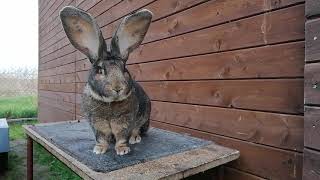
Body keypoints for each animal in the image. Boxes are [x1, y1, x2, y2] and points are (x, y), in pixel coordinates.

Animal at [59, 6, 152, 155]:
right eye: (100, 70)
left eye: (124, 69)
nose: (117, 88)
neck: (110, 102)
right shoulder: (97, 123)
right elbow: (101, 137)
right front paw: (99, 149)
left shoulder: (125, 122)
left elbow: (122, 136)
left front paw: (122, 150)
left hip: (144, 117)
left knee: (137, 129)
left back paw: (135, 138)